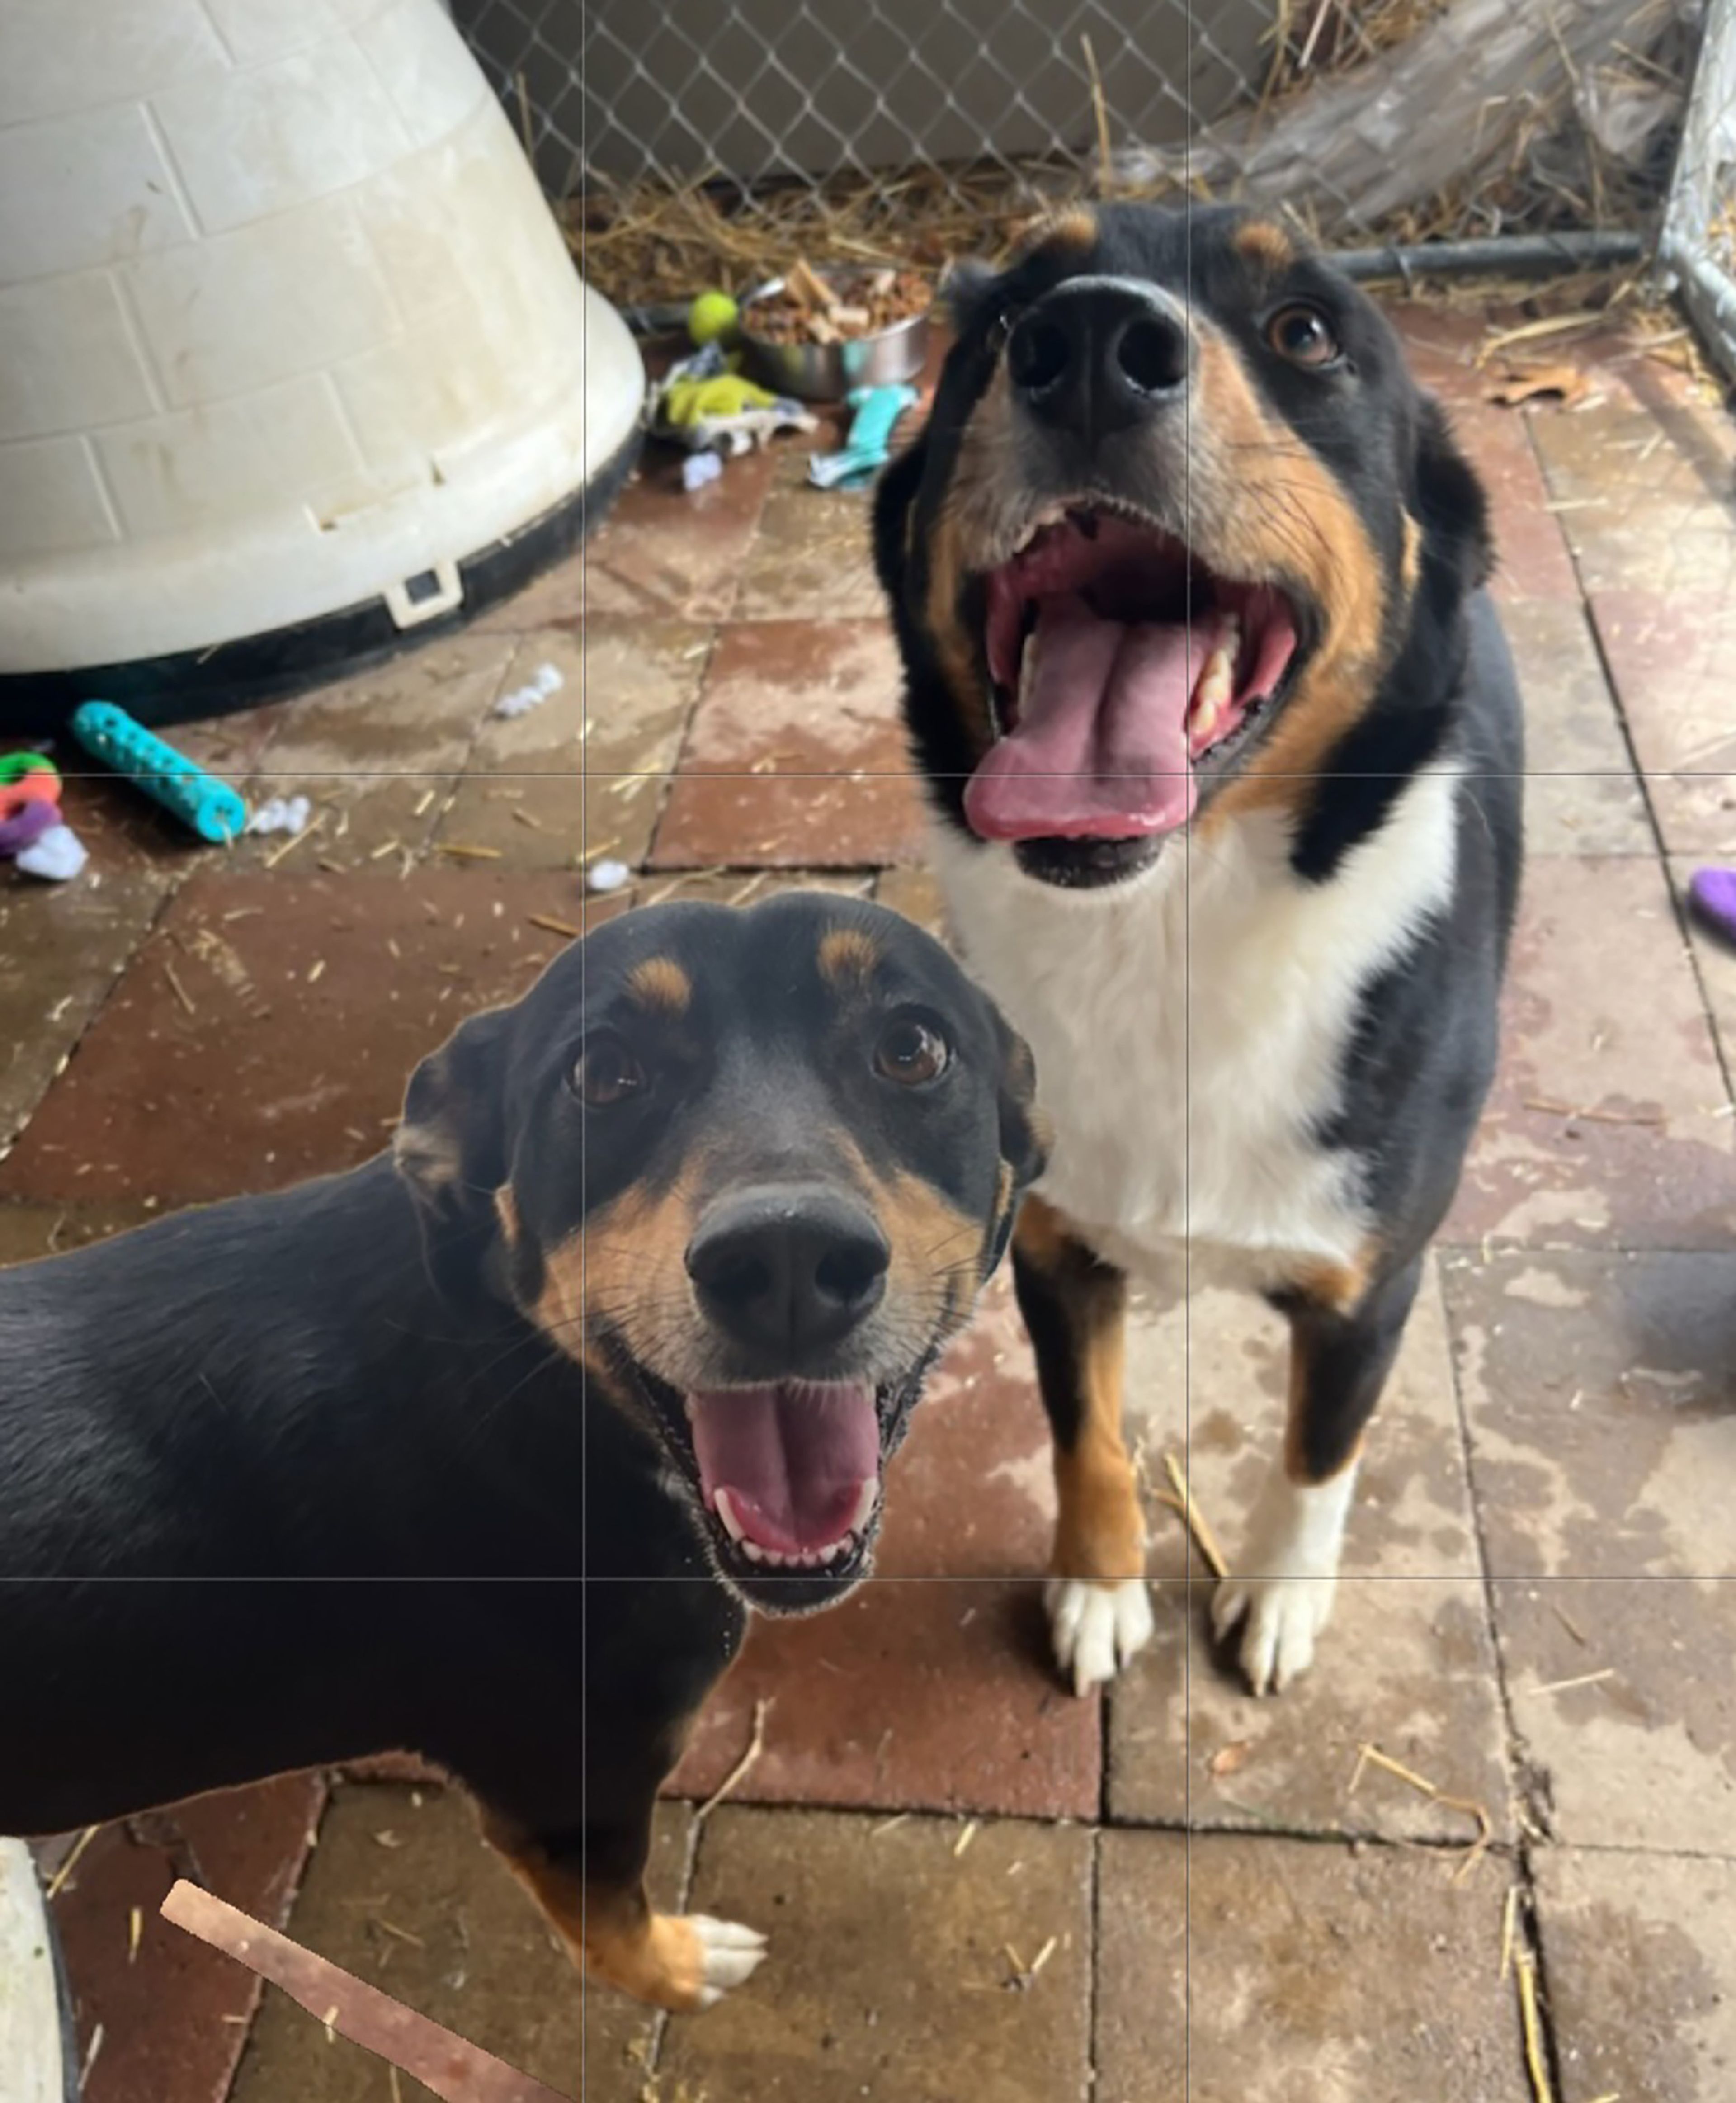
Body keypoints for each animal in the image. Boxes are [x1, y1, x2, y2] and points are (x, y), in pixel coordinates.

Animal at [0, 887, 1042, 2002]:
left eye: (912, 1048)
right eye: (603, 1073)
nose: (789, 1256)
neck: (541, 1385)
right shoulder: (569, 1793)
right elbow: (617, 1930)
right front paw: (683, 1972)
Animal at [874, 205, 1521, 1699]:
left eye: (1306, 332)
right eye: (1006, 317)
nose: (1090, 346)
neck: (1164, 930)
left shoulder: (1367, 1284)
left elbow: (1318, 1455)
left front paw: (1277, 1598)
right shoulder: (1053, 1249)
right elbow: (1083, 1434)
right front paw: (1101, 1581)